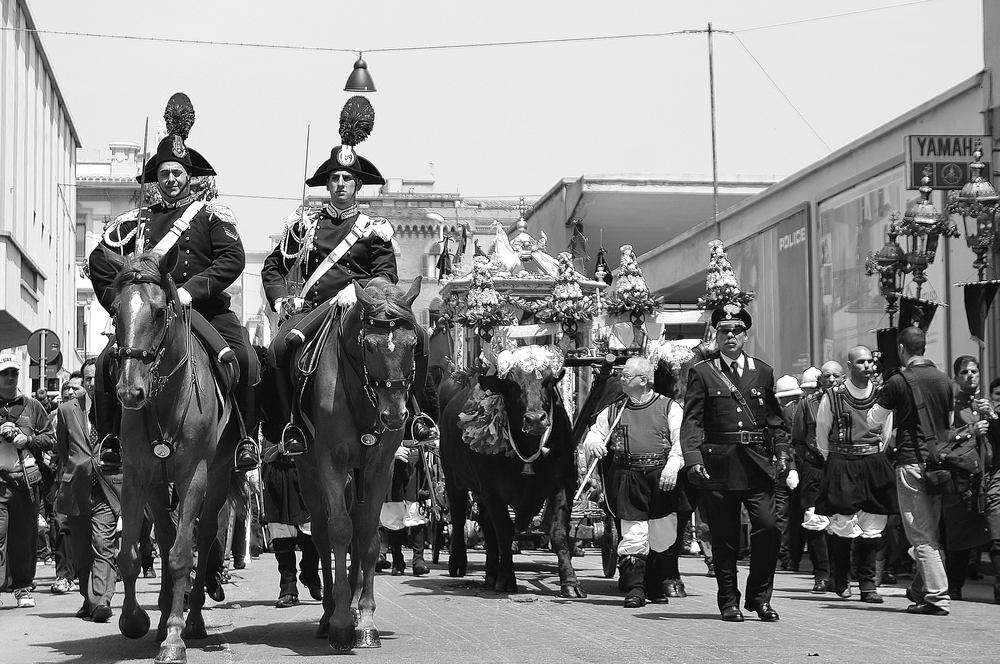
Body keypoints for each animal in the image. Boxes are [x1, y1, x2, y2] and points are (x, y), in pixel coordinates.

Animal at [109, 250, 246, 664]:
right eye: (114, 310)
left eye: (157, 311)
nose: (129, 391)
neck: (166, 397)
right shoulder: (137, 476)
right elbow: (130, 555)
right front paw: (135, 620)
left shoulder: (193, 476)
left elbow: (183, 553)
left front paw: (174, 636)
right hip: (158, 488)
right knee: (167, 533)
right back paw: (165, 610)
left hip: (217, 480)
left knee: (206, 535)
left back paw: (194, 617)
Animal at [292, 278, 426, 652]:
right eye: (369, 346)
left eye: (413, 343)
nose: (394, 416)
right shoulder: (330, 463)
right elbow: (339, 530)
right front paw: (339, 624)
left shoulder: (380, 467)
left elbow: (367, 536)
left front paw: (365, 620)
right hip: (309, 474)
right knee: (322, 534)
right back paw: (329, 614)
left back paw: (350, 606)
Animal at [438, 344, 584, 600]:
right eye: (512, 384)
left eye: (548, 381)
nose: (535, 419)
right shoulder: (492, 491)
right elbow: (505, 531)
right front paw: (507, 579)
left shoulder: (563, 483)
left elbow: (558, 533)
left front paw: (570, 582)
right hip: (454, 479)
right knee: (458, 516)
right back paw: (458, 563)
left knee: (486, 526)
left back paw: (491, 573)